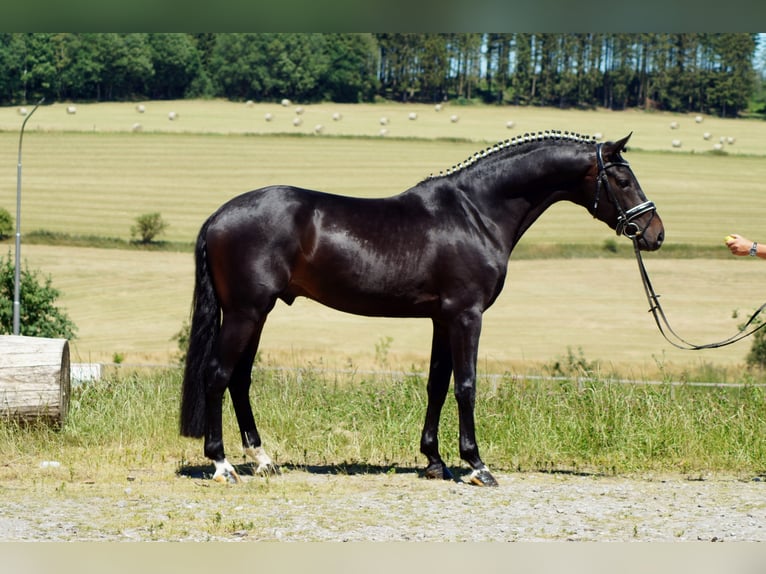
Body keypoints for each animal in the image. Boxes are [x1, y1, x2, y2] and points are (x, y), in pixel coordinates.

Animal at [180, 133, 664, 488]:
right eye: (623, 180)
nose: (654, 233)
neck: (475, 213)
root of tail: (218, 217)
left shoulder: (442, 318)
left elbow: (436, 384)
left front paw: (434, 461)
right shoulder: (467, 315)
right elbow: (466, 386)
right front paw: (477, 466)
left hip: (256, 314)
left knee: (240, 380)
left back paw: (263, 460)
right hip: (245, 312)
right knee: (218, 375)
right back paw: (222, 465)